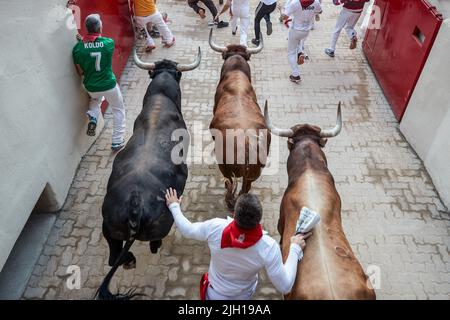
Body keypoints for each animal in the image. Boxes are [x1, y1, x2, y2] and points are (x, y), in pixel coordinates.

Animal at [95, 47, 202, 300]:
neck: (161, 99)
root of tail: (135, 201)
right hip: (160, 225)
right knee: (153, 242)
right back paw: (152, 249)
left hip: (109, 228)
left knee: (113, 258)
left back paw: (129, 261)